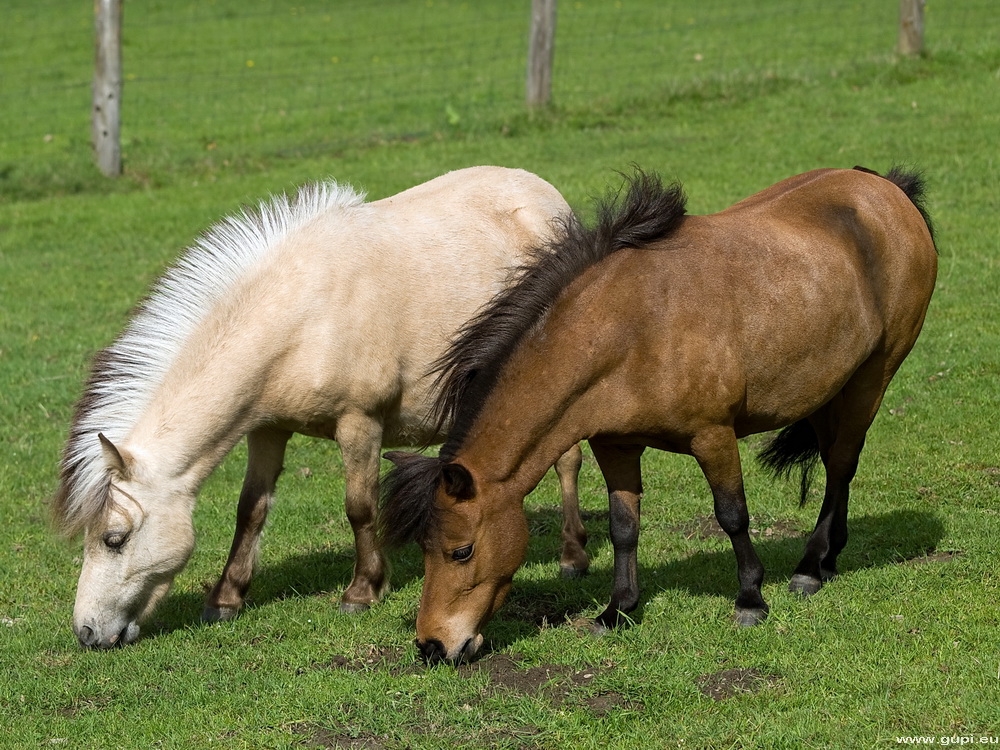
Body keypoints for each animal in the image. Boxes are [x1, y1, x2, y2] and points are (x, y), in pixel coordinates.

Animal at [54, 167, 584, 648]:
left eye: (114, 539)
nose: (86, 633)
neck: (302, 320)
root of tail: (547, 196)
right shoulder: (266, 430)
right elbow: (251, 510)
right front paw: (225, 599)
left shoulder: (360, 425)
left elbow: (359, 508)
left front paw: (362, 591)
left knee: (568, 462)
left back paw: (573, 556)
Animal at [382, 167, 936, 668]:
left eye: (461, 551)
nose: (432, 647)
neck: (629, 328)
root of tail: (886, 188)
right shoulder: (615, 444)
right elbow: (624, 527)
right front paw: (617, 611)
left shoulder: (713, 436)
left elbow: (732, 515)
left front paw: (750, 600)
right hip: (826, 387)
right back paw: (829, 557)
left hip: (872, 377)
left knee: (841, 464)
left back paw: (810, 567)